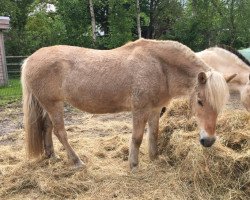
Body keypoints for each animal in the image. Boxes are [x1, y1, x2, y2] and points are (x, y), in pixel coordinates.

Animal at [22, 38, 234, 170]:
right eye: (200, 101)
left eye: (220, 105)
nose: (208, 141)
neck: (160, 67)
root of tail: (30, 59)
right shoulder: (140, 109)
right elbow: (137, 138)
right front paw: (134, 165)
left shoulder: (155, 109)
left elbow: (154, 134)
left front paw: (155, 158)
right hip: (53, 105)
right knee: (60, 132)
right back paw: (76, 161)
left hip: (49, 105)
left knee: (47, 128)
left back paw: (52, 156)